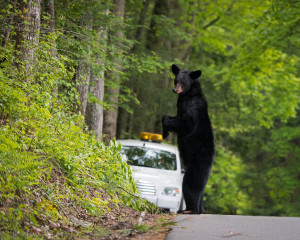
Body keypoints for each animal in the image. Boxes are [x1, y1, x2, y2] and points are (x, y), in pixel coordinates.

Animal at [162, 63, 216, 214]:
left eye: (183, 82)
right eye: (176, 80)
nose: (174, 90)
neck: (189, 95)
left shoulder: (192, 108)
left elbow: (184, 123)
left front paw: (165, 129)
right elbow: (170, 117)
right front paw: (164, 131)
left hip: (197, 164)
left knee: (190, 184)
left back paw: (190, 209)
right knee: (200, 189)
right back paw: (199, 209)